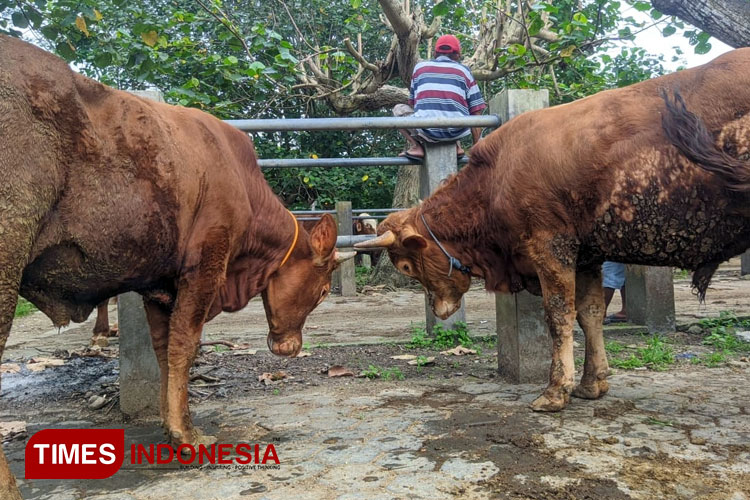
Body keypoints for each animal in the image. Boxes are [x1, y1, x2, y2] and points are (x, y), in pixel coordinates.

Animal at [0, 36, 356, 500]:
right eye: (325, 290)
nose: (290, 349)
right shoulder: (204, 266)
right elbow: (186, 345)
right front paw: (187, 435)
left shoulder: (158, 285)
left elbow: (164, 348)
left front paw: (171, 423)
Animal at [356, 47, 750, 414]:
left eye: (406, 266)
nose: (438, 311)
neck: (496, 177)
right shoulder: (588, 255)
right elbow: (590, 313)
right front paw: (592, 383)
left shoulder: (551, 245)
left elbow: (559, 316)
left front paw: (556, 390)